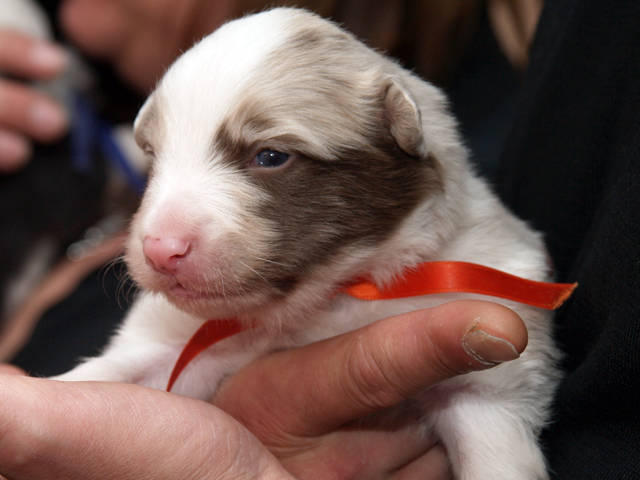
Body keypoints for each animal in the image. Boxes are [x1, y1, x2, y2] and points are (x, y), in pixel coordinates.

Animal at [56, 8, 561, 479]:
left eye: (270, 156)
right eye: (153, 157)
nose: (161, 249)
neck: (327, 301)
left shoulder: (488, 381)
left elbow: (495, 451)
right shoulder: (179, 343)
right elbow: (116, 373)